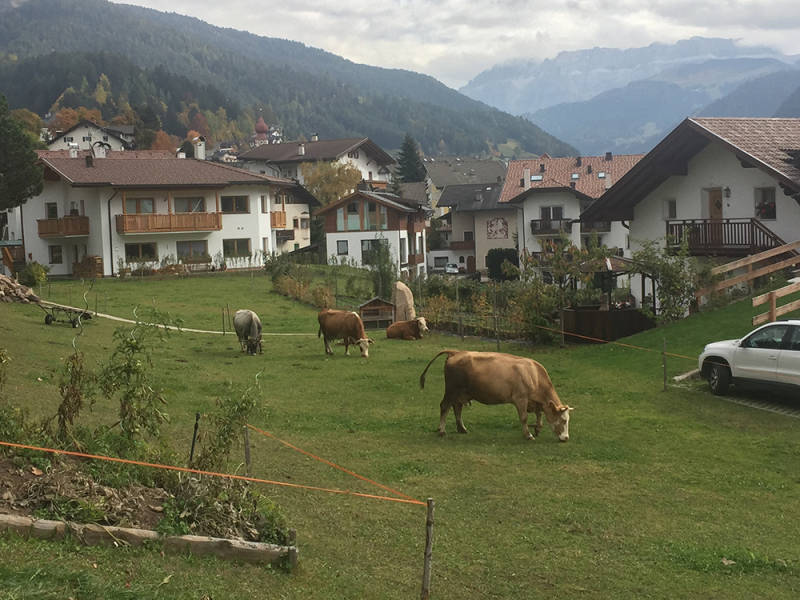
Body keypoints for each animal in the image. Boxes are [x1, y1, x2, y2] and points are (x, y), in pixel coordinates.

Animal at [418, 346, 576, 440]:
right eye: (563, 420)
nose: (566, 438)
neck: (534, 375)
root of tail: (455, 352)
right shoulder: (520, 399)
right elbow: (524, 418)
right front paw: (528, 434)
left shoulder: (534, 401)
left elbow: (539, 415)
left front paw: (537, 428)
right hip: (452, 390)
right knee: (444, 406)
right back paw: (442, 430)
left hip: (460, 393)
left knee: (457, 408)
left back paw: (461, 428)